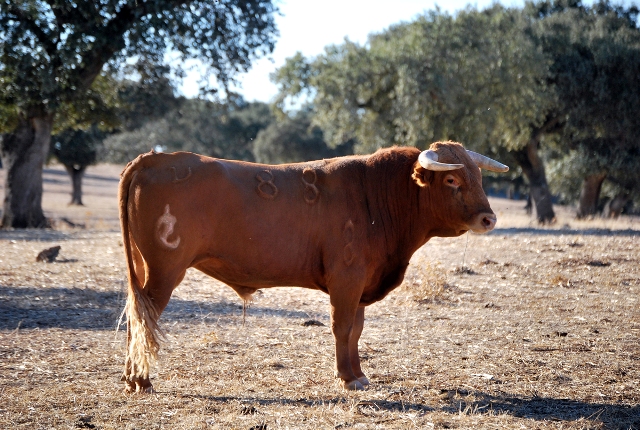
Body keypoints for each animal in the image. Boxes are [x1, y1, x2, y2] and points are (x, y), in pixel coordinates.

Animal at [117, 141, 508, 394]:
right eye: (452, 180)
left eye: (479, 178)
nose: (488, 219)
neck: (376, 195)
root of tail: (154, 159)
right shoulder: (347, 280)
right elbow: (343, 327)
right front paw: (348, 378)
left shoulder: (360, 286)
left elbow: (356, 331)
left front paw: (358, 374)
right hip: (164, 270)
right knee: (145, 318)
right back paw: (141, 380)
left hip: (144, 269)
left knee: (137, 317)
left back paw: (133, 378)